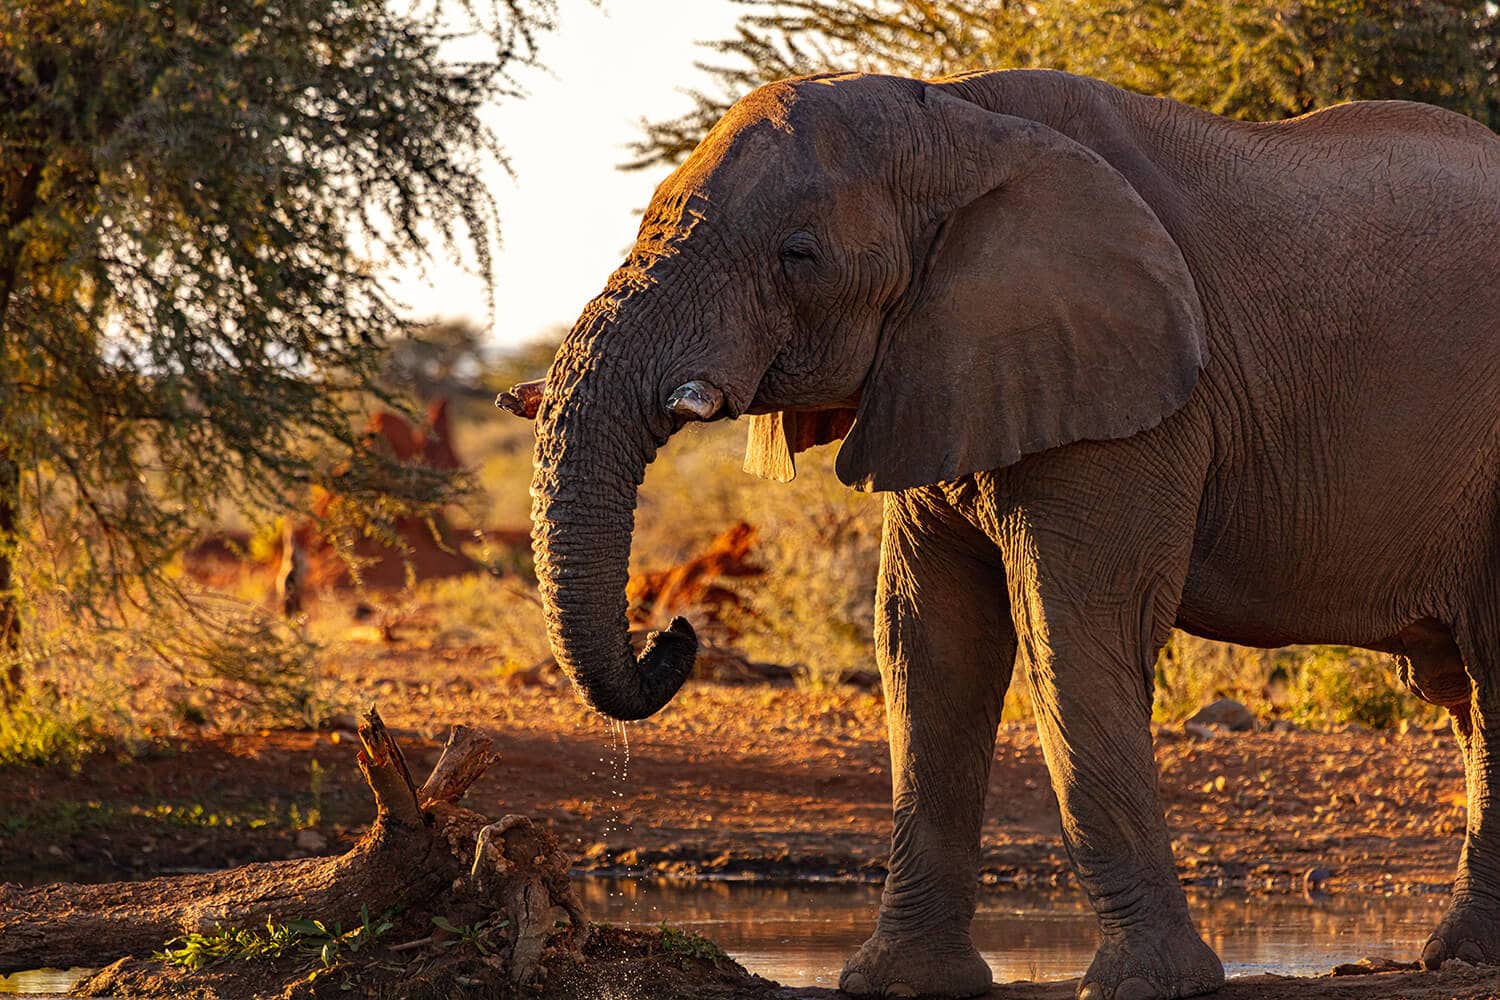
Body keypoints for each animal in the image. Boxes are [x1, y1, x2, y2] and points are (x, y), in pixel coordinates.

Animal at [510, 70, 1500, 1000]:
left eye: (799, 255)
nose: (673, 632)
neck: (956, 121)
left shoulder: (1127, 392)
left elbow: (1073, 630)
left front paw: (1149, 986)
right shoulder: (946, 365)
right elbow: (928, 641)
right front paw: (898, 983)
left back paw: (1456, 955)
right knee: (1461, 688)